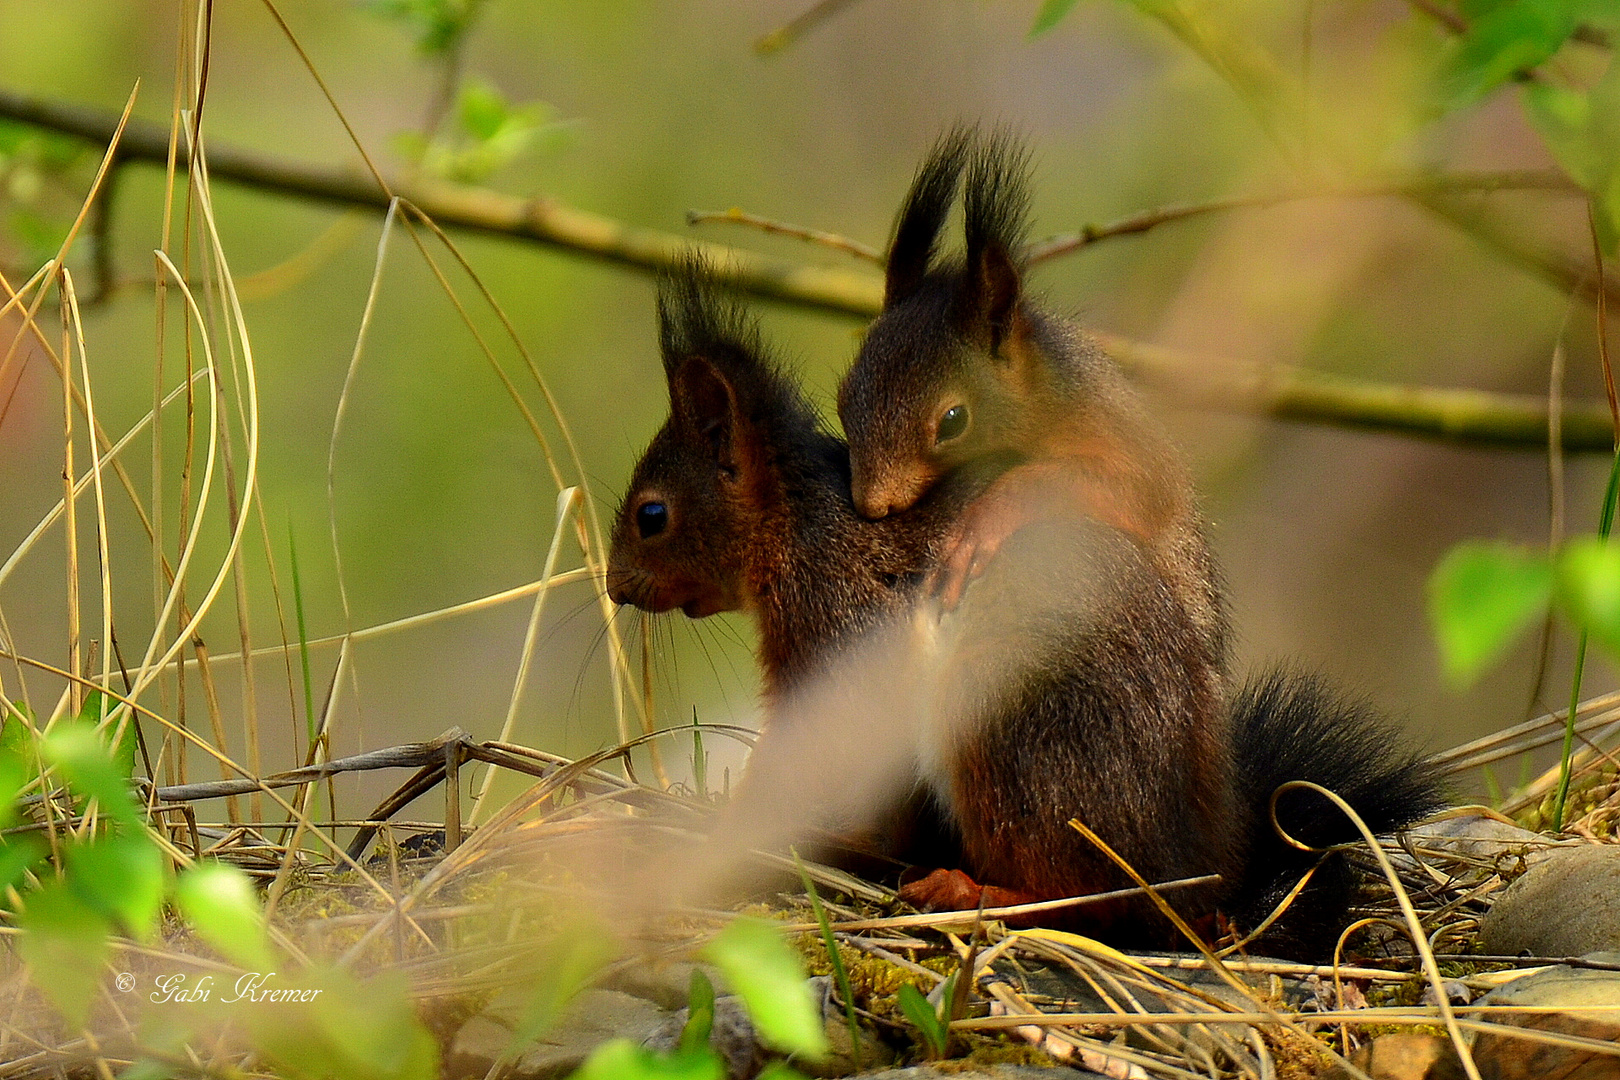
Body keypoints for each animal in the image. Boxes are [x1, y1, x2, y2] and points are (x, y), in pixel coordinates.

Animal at [609, 255, 1445, 965]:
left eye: (652, 515)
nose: (615, 586)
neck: (800, 521)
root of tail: (1198, 883)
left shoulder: (839, 631)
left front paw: (727, 837)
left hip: (1012, 733)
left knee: (1088, 900)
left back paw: (972, 889)